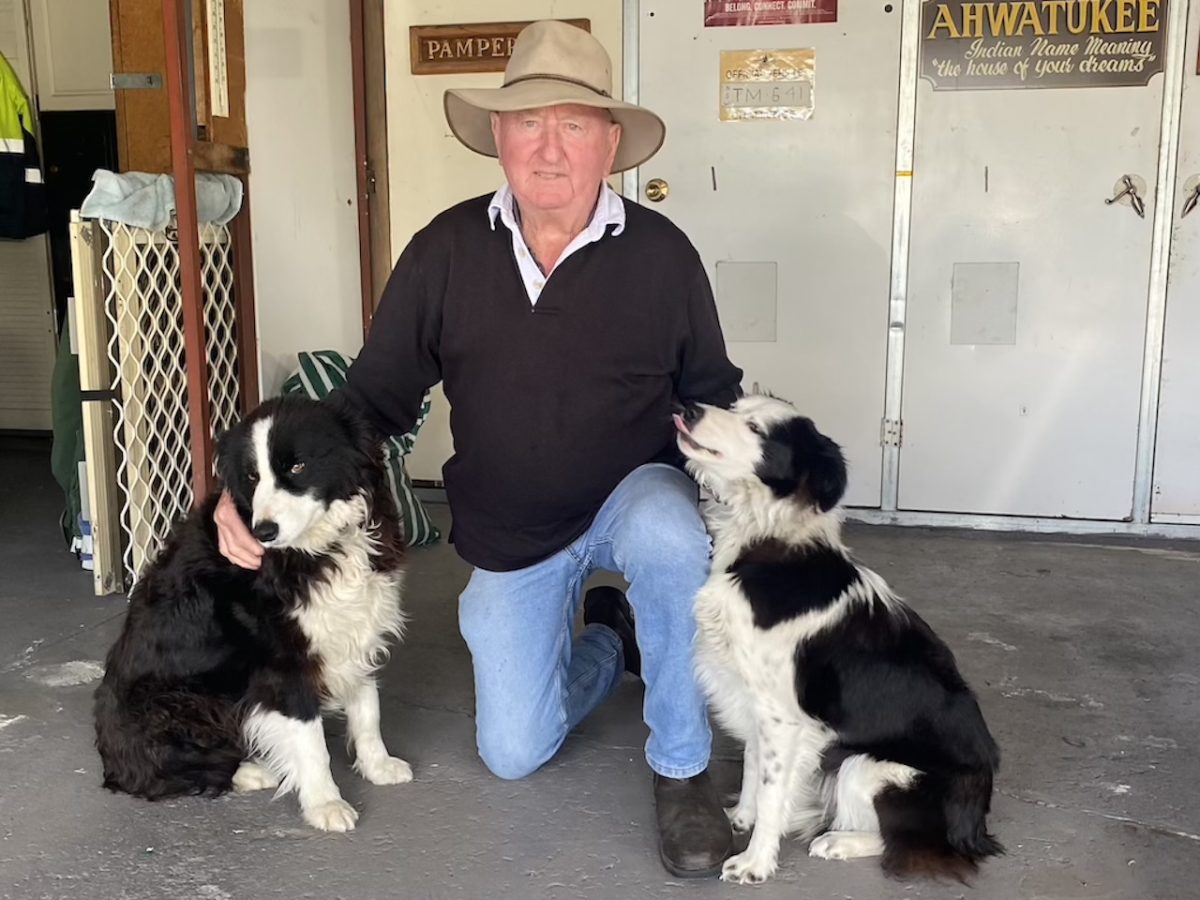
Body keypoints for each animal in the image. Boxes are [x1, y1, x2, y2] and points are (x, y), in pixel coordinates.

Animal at [94, 393, 412, 830]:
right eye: (251, 477)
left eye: (297, 466)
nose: (263, 532)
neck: (318, 549)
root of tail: (108, 753)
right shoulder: (282, 661)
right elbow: (311, 741)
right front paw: (325, 803)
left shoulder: (354, 630)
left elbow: (367, 709)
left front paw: (377, 765)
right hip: (181, 702)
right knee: (162, 771)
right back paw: (253, 771)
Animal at [676, 396, 1003, 888]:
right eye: (734, 405)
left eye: (756, 429)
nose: (690, 408)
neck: (768, 541)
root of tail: (975, 829)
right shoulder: (756, 698)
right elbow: (754, 765)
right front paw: (741, 818)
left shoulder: (783, 717)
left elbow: (772, 788)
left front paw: (755, 861)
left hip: (866, 766)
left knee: (915, 848)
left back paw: (838, 841)